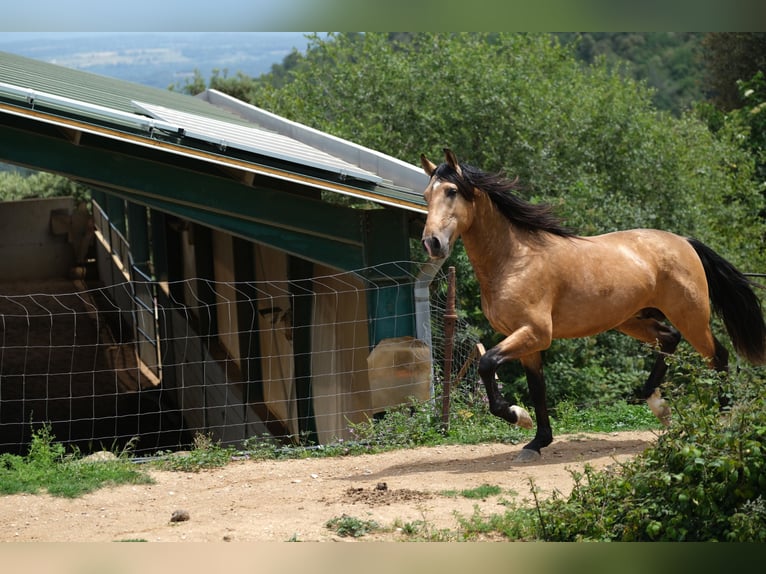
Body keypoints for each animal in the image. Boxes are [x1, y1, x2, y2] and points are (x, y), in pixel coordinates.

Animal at [420, 150, 766, 464]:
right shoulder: (528, 341)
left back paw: (720, 415)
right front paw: (537, 442)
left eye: (451, 192)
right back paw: (657, 404)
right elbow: (537, 388)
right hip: (632, 319)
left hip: (690, 316)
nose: (432, 243)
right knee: (670, 339)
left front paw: (519, 416)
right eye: (426, 195)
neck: (515, 260)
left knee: (718, 356)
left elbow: (486, 363)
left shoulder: (535, 333)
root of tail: (683, 242)